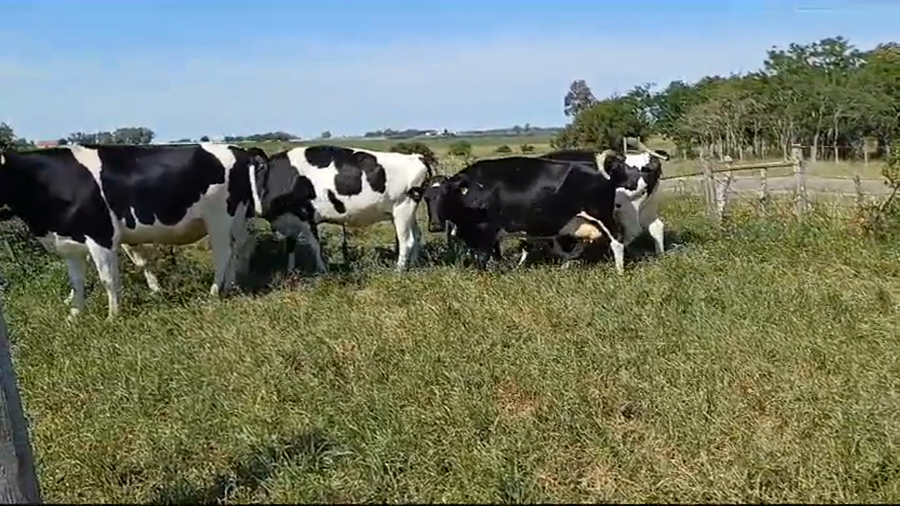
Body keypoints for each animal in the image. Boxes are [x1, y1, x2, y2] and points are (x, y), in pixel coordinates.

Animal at [0, 142, 316, 321]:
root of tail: (238, 150)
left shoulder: (101, 236)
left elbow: (108, 279)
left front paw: (112, 316)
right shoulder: (68, 243)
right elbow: (77, 282)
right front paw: (75, 314)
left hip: (219, 216)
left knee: (224, 252)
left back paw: (216, 291)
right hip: (237, 216)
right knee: (241, 246)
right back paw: (233, 283)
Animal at [257, 145, 434, 273]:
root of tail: (416, 157)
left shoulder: (305, 217)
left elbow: (314, 246)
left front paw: (323, 272)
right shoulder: (291, 220)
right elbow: (290, 246)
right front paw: (291, 272)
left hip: (402, 208)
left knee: (407, 241)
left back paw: (398, 271)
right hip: (407, 212)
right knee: (417, 235)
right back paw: (414, 264)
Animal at [415, 155, 630, 274]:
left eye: (447, 194)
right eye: (426, 198)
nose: (434, 225)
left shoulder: (486, 231)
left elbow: (483, 259)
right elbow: (494, 256)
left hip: (602, 215)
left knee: (617, 241)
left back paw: (619, 271)